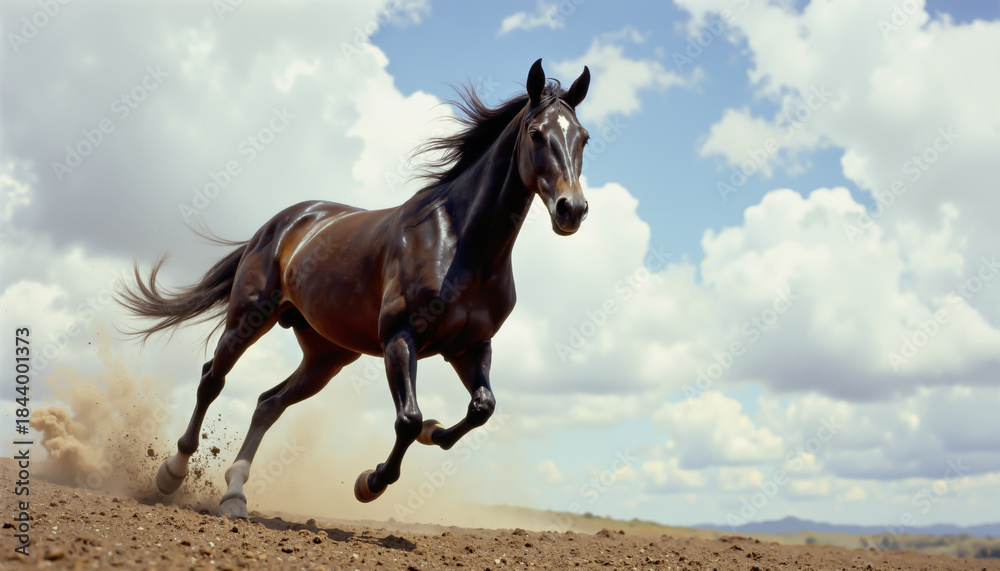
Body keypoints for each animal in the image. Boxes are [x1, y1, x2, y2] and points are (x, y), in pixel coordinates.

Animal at [117, 59, 591, 518]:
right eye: (535, 133)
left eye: (583, 138)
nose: (572, 209)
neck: (460, 244)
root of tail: (282, 223)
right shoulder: (400, 337)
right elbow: (408, 419)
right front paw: (371, 482)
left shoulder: (470, 347)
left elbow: (481, 408)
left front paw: (435, 433)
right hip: (249, 320)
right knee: (211, 381)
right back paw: (172, 473)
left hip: (326, 355)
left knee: (269, 402)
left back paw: (235, 496)